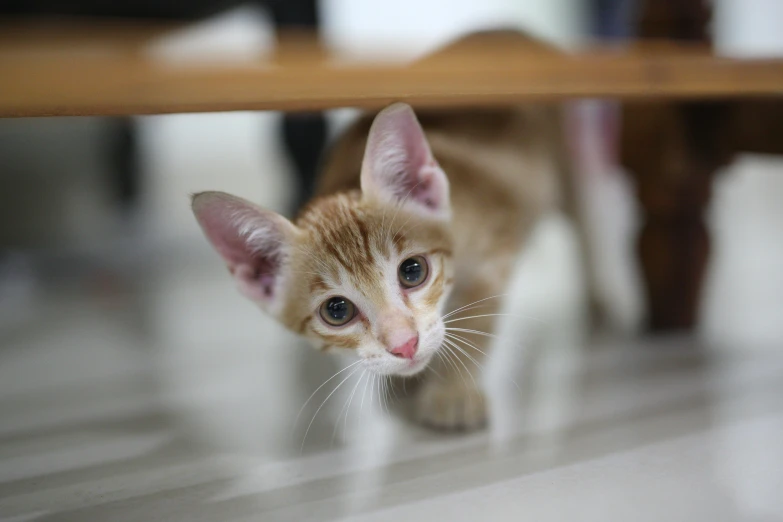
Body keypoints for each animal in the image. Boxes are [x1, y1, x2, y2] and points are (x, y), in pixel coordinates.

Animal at [190, 34, 580, 430]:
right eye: (336, 311)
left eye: (413, 271)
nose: (404, 345)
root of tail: (509, 30)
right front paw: (413, 380)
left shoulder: (493, 249)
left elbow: (476, 320)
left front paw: (452, 389)